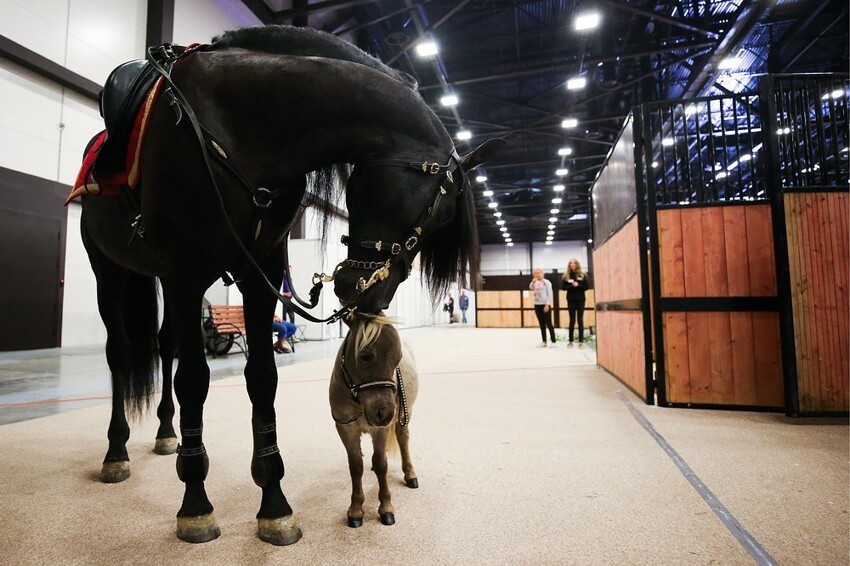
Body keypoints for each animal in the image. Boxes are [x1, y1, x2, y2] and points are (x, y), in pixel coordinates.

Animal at [328, 318, 418, 532]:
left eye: (397, 358)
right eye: (365, 356)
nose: (384, 413)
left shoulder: (381, 429)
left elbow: (381, 465)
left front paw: (386, 508)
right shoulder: (345, 429)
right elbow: (356, 466)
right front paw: (355, 509)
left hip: (404, 414)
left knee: (403, 440)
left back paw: (410, 474)